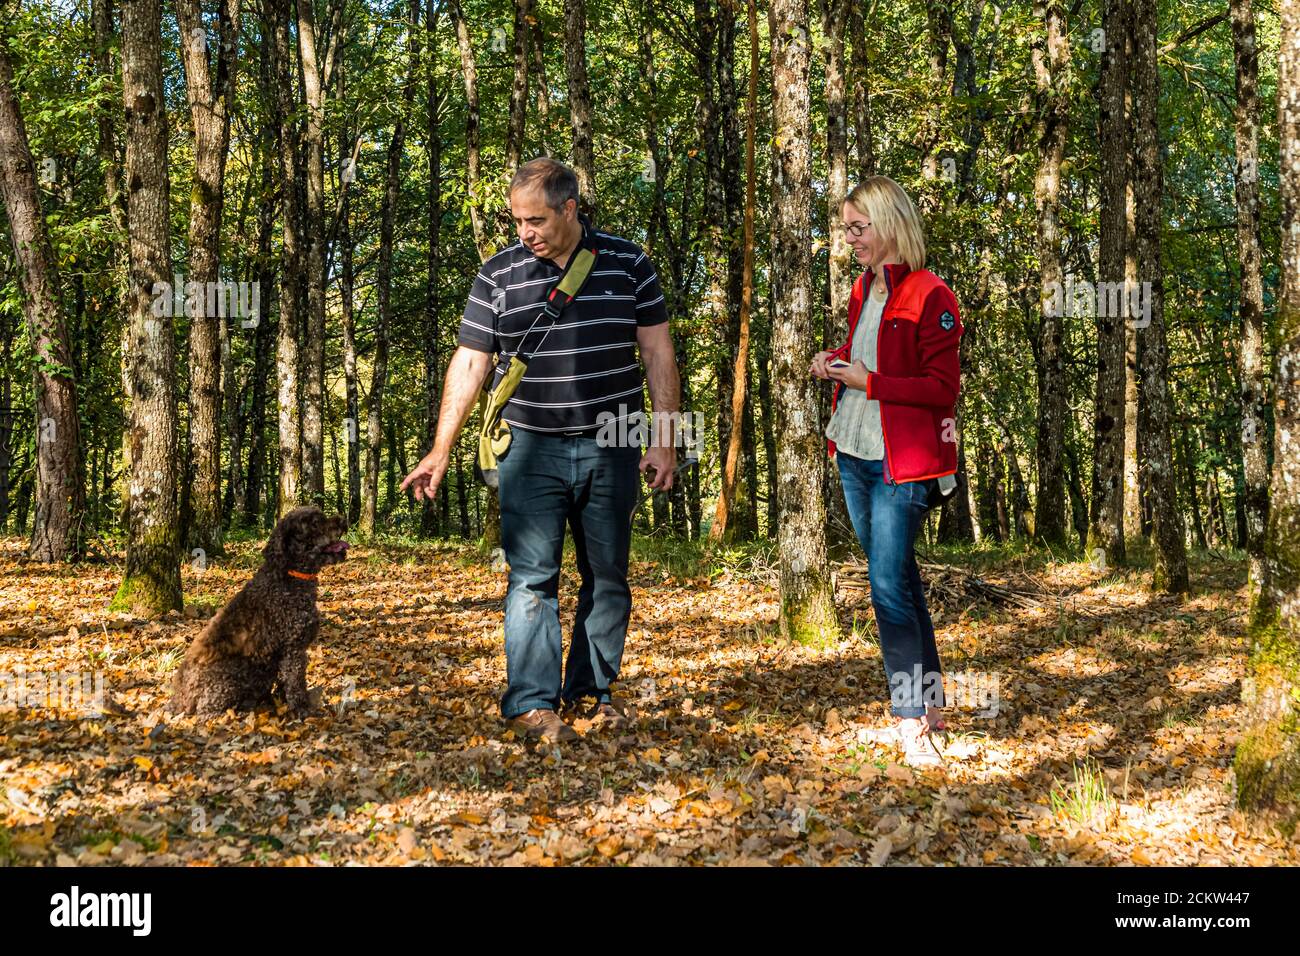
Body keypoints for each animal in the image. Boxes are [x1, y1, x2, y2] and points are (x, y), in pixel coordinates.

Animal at [169, 509, 351, 717]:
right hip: (232, 673)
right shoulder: (293, 649)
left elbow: (285, 682)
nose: (343, 520)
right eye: (313, 523)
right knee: (207, 710)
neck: (289, 578)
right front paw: (302, 709)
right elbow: (295, 683)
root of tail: (177, 698)